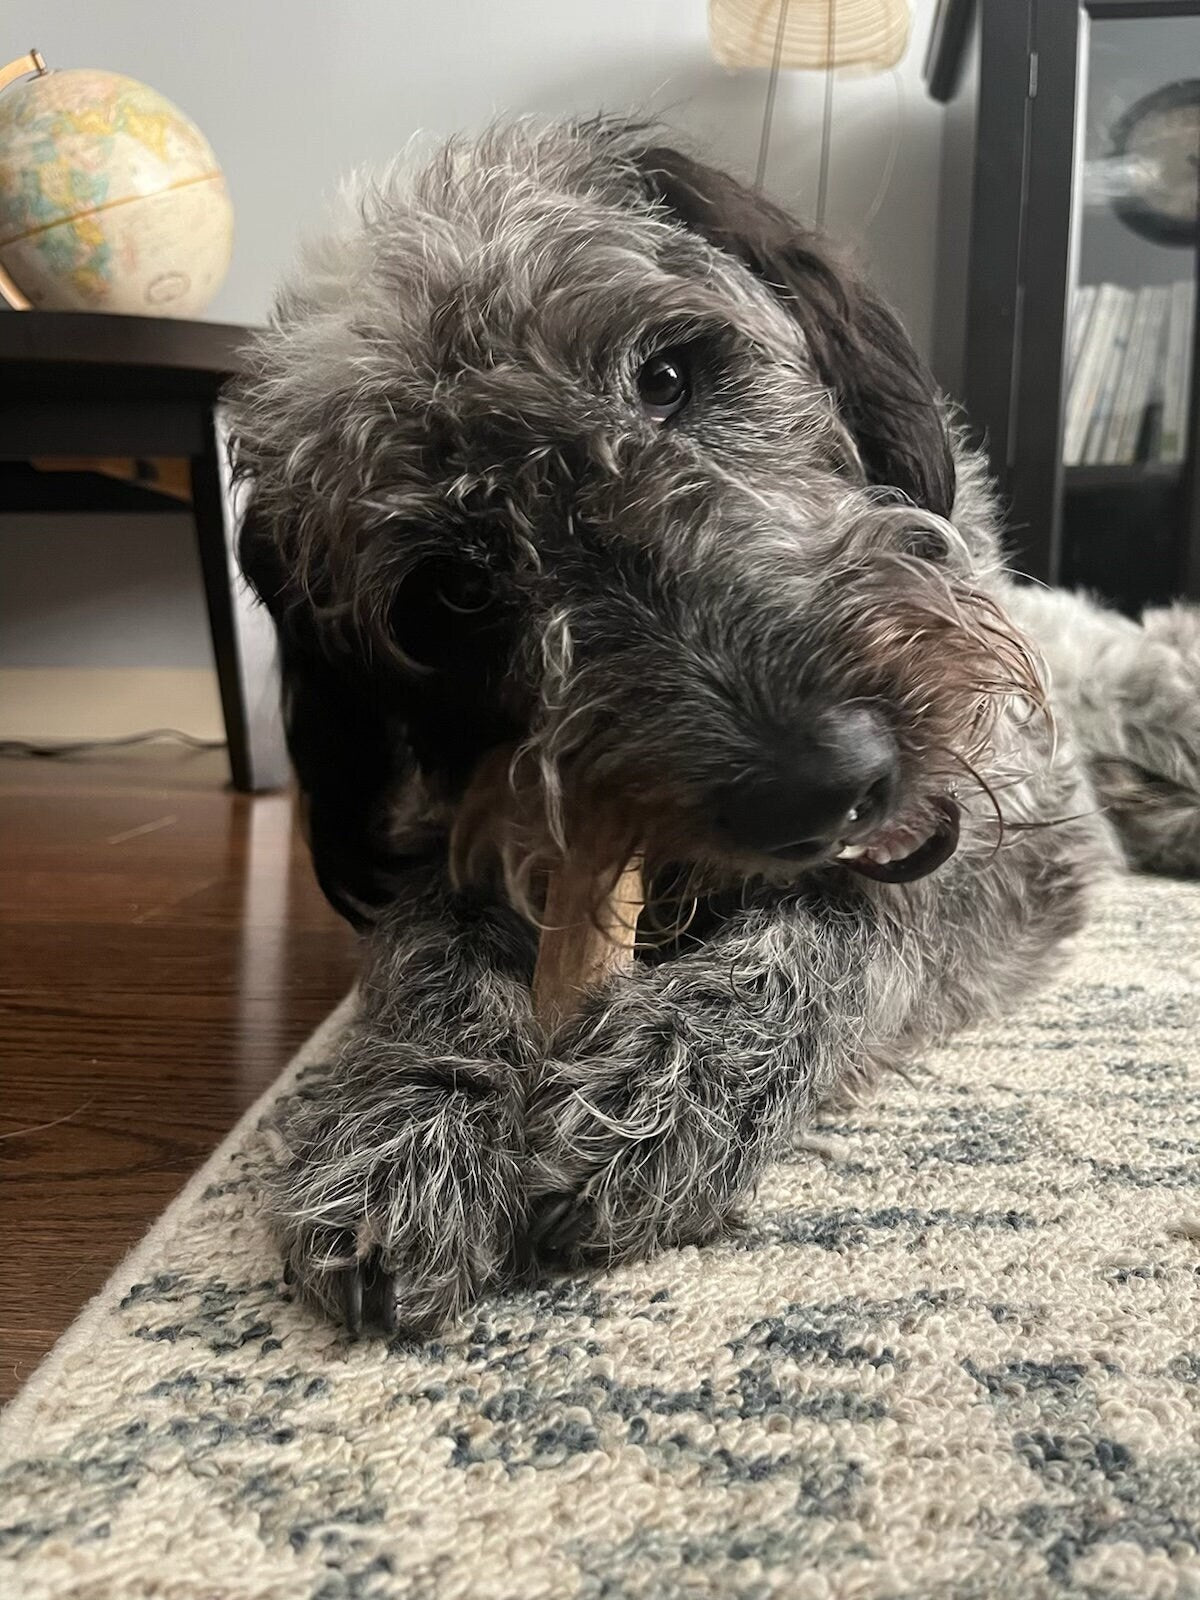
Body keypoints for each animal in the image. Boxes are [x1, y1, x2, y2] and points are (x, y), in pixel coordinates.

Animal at [232, 116, 1200, 1337]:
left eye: (669, 374)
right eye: (449, 594)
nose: (830, 783)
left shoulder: (1014, 841)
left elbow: (854, 921)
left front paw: (679, 1075)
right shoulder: (455, 843)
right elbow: (427, 954)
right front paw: (408, 1118)